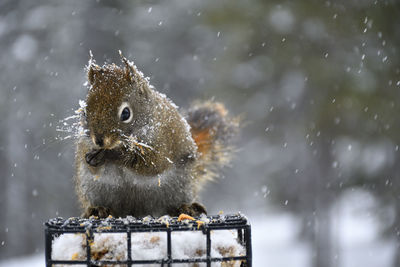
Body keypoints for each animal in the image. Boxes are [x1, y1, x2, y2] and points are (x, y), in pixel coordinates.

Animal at [74, 50, 238, 220]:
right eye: (85, 112)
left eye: (126, 113)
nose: (99, 141)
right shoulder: (85, 144)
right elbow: (93, 168)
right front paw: (92, 157)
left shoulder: (163, 142)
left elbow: (152, 164)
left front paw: (112, 155)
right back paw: (97, 210)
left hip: (181, 187)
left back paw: (184, 208)